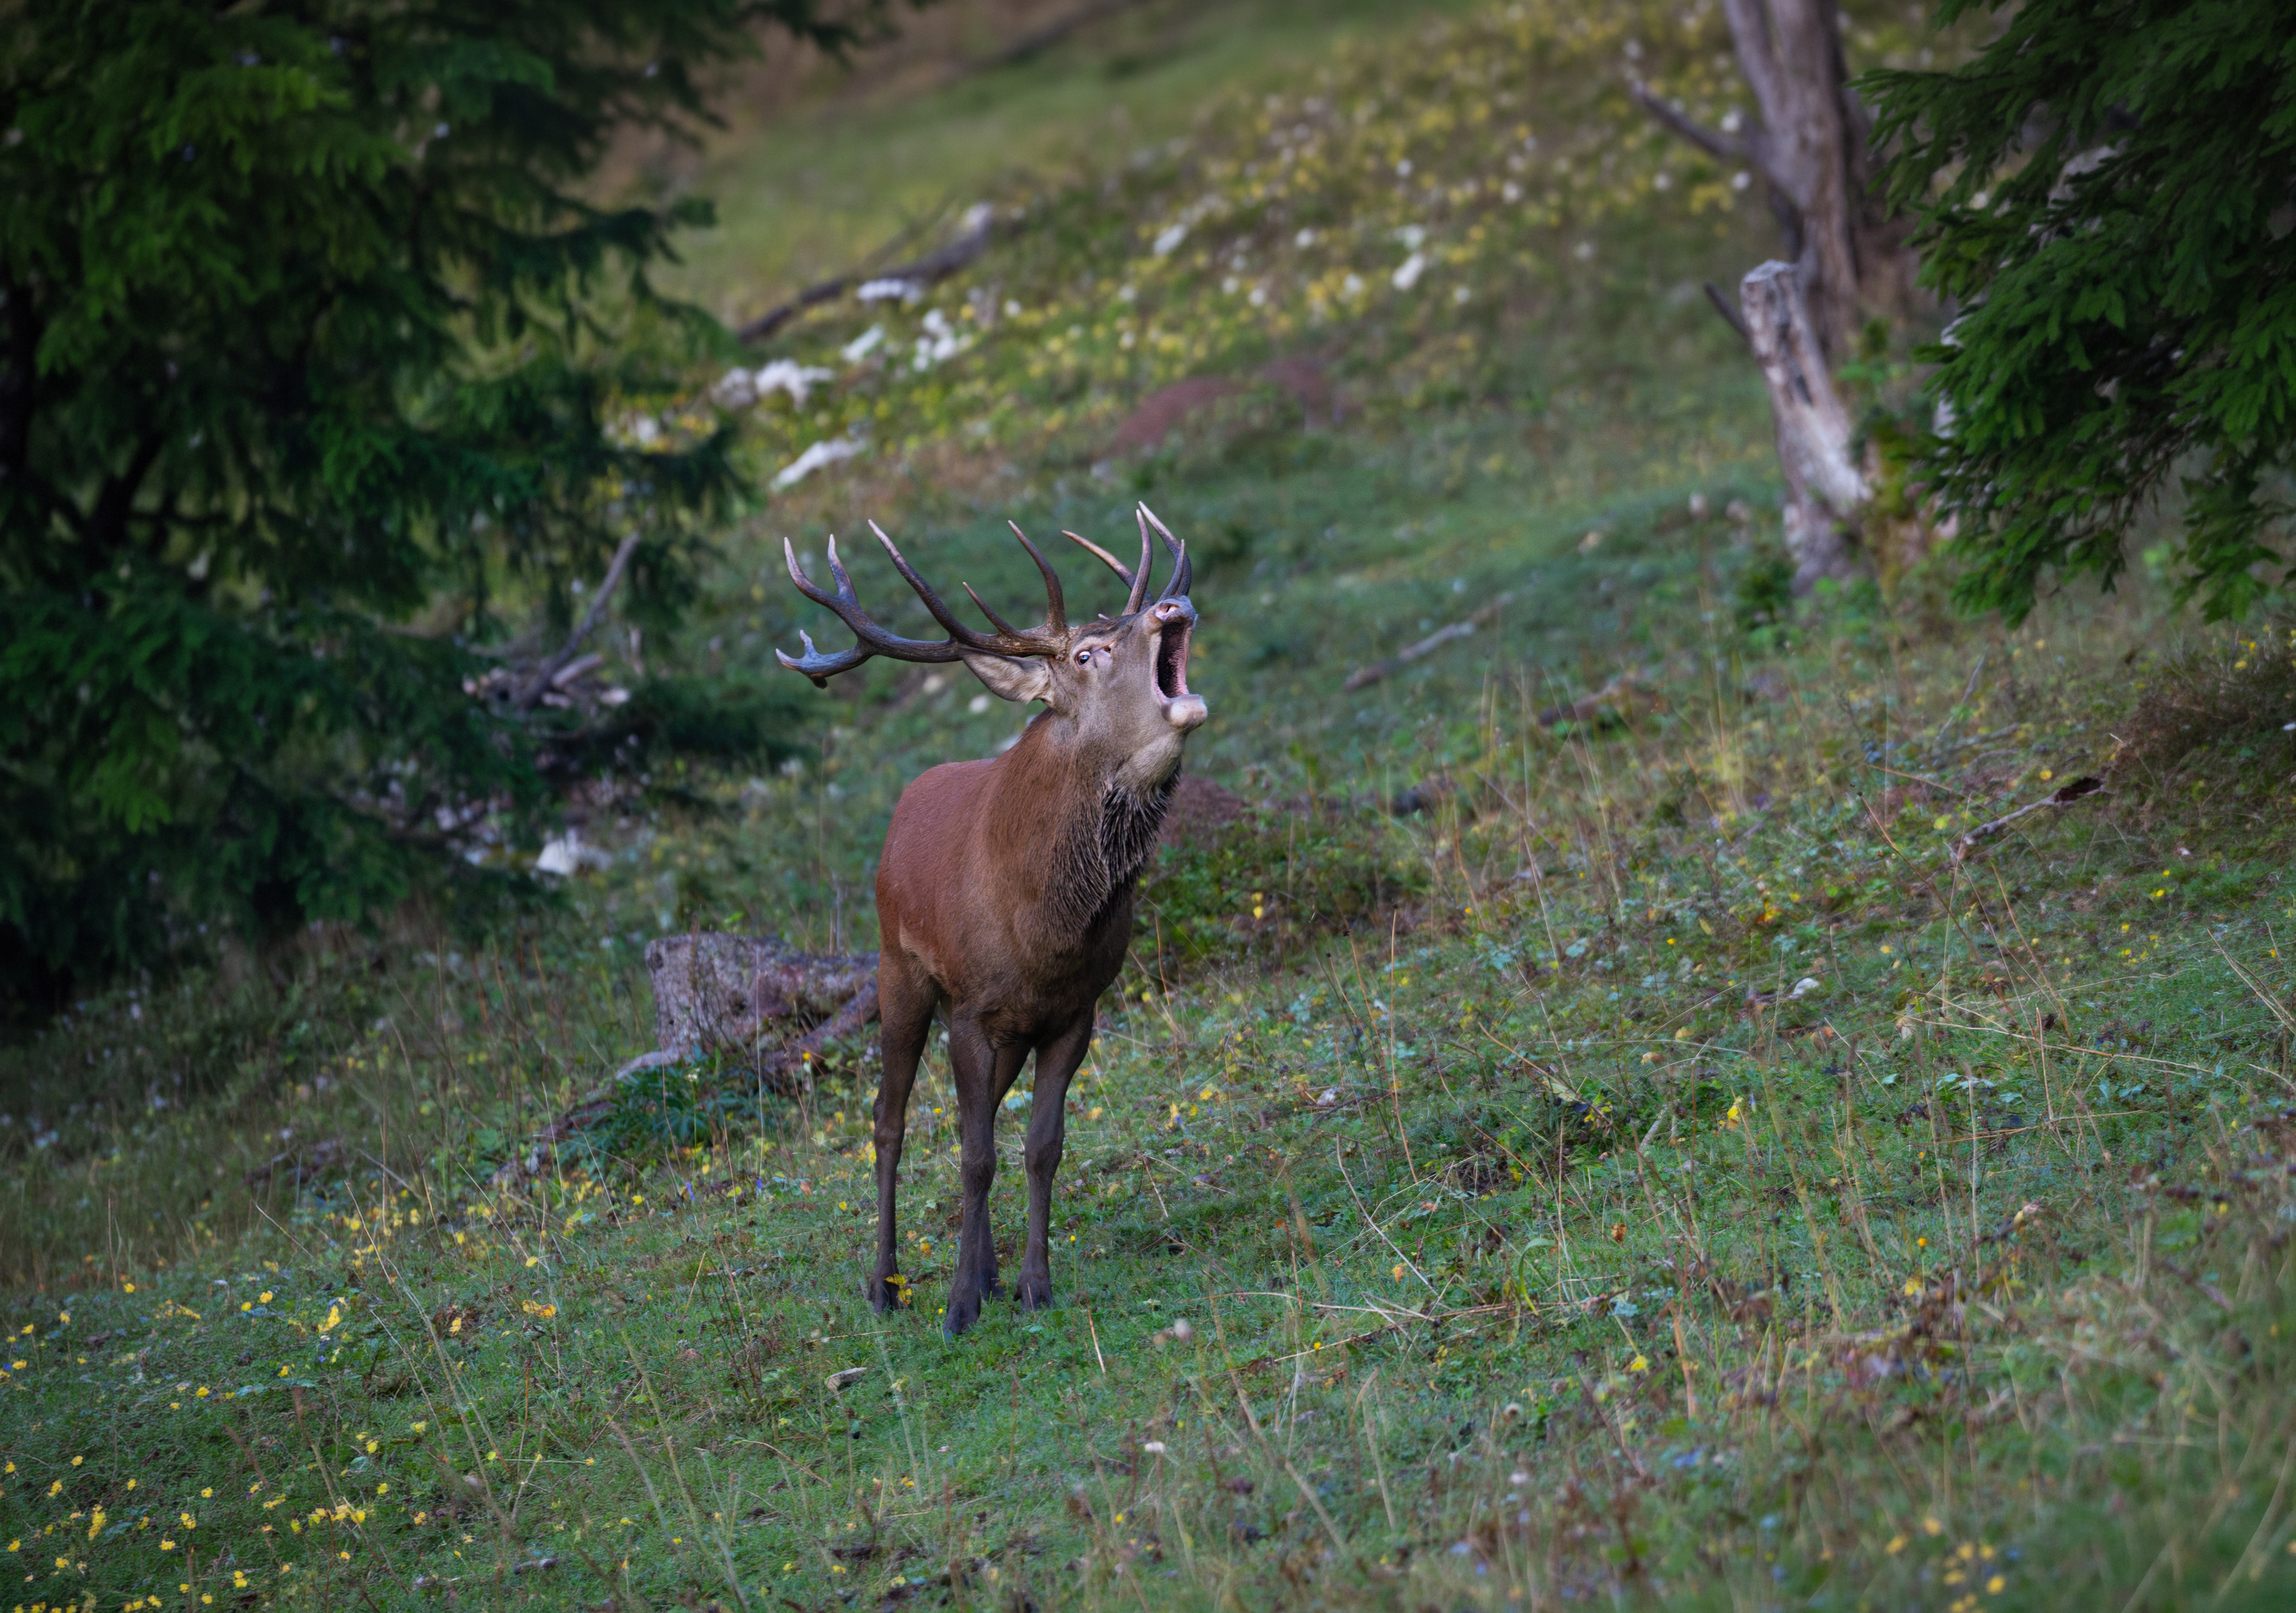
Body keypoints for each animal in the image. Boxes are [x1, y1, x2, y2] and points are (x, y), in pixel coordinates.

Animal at [776, 504, 1205, 1337]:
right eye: (1087, 651)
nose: (1173, 606)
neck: (1045, 930)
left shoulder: (1075, 1010)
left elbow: (1039, 1144)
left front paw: (1033, 1283)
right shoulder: (971, 1007)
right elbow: (975, 1155)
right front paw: (958, 1305)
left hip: (997, 1024)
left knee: (977, 1119)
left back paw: (988, 1267)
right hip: (900, 971)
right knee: (890, 1120)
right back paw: (885, 1282)